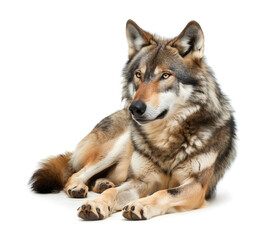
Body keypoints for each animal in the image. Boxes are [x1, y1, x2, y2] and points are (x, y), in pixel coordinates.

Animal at [30, 19, 236, 220]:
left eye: (165, 75)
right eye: (139, 75)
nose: (135, 108)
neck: (164, 137)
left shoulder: (196, 185)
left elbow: (164, 192)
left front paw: (140, 205)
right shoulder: (141, 181)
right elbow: (113, 193)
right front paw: (95, 204)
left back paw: (103, 183)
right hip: (117, 145)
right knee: (75, 174)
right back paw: (80, 187)